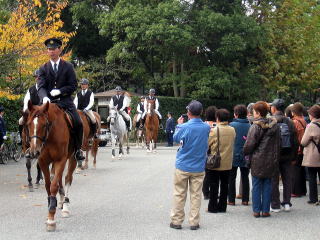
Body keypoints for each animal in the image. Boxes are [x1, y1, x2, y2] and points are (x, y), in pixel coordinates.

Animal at [25, 101, 77, 232]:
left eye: (44, 125)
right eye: (28, 124)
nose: (34, 152)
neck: (50, 136)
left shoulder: (60, 160)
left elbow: (53, 186)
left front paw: (51, 219)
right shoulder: (43, 161)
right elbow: (48, 185)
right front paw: (50, 209)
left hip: (72, 158)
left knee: (67, 178)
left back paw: (65, 206)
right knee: (57, 178)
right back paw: (61, 201)